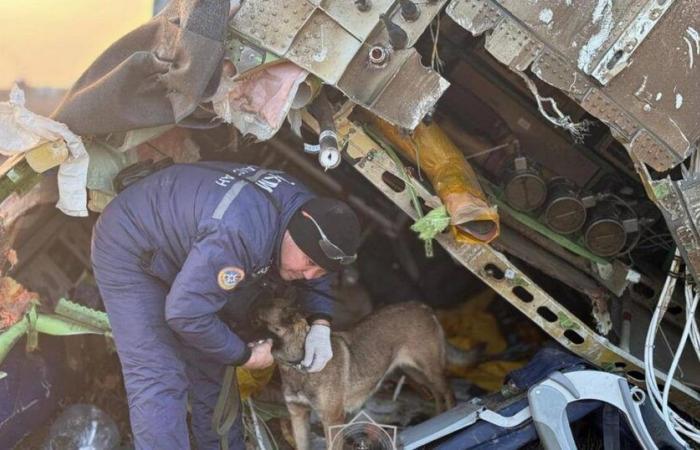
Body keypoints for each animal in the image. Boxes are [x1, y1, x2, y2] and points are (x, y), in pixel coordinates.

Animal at [258, 298, 454, 450]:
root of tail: (423, 307)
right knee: (436, 392)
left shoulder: (333, 420)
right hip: (415, 372)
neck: (298, 365)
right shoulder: (298, 415)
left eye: (256, 320)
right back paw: (439, 415)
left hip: (430, 370)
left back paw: (452, 413)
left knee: (448, 392)